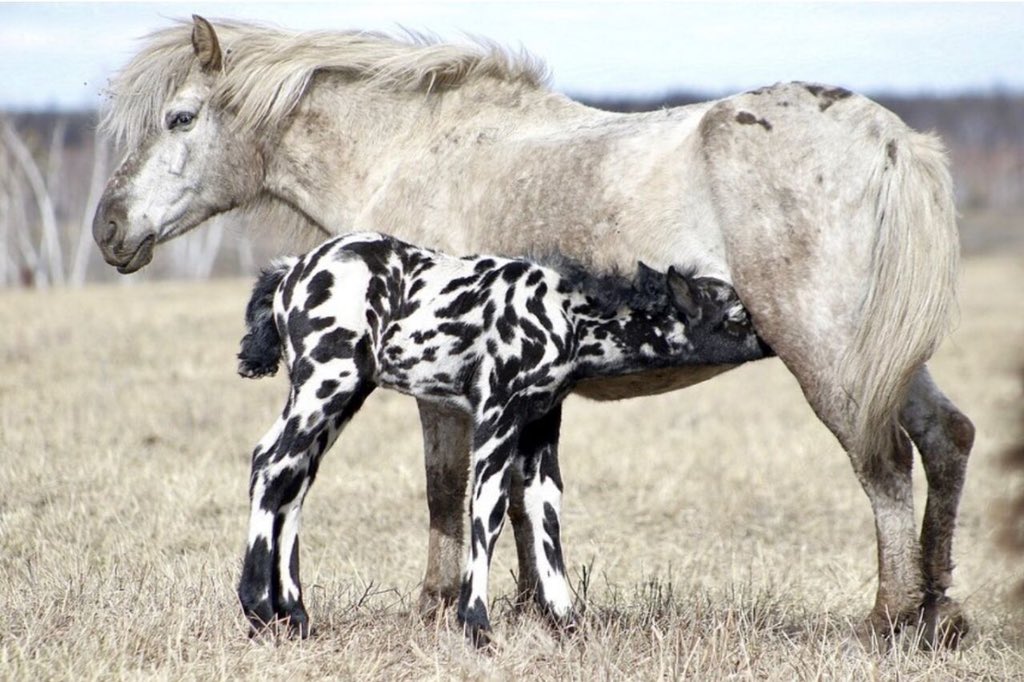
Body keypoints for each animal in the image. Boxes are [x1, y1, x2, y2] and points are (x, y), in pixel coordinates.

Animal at [237, 231, 770, 638]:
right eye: (737, 316)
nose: (772, 338)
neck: (566, 316)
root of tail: (292, 269)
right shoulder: (496, 417)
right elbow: (488, 509)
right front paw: (476, 624)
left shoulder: (538, 428)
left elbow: (545, 510)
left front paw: (567, 621)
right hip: (325, 388)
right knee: (269, 462)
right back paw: (258, 609)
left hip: (341, 400)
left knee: (294, 482)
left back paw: (295, 615)